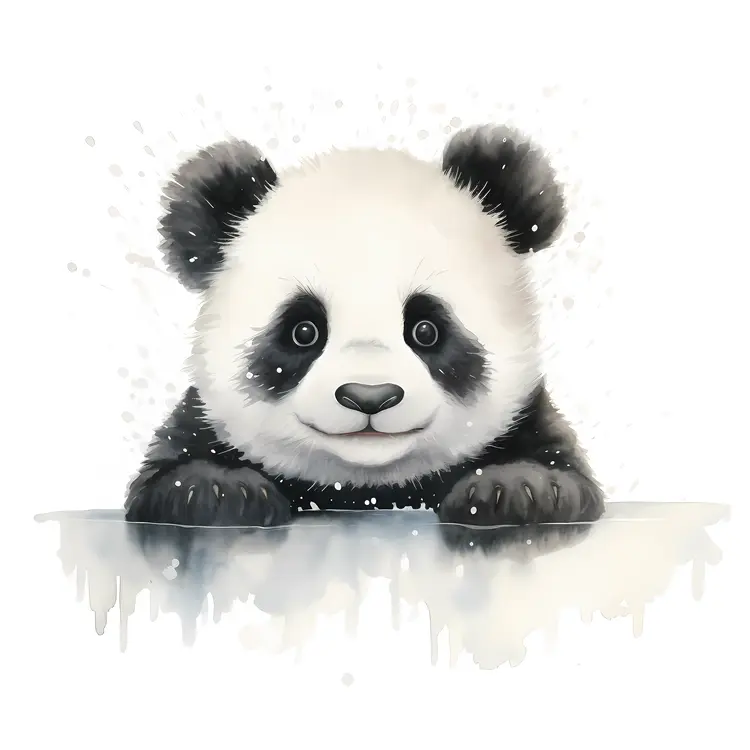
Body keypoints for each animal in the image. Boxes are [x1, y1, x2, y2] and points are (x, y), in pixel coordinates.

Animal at [124, 124, 605, 529]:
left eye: (426, 329)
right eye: (303, 331)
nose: (369, 396)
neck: (367, 490)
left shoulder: (526, 417)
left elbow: (563, 479)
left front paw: (517, 489)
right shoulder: (205, 422)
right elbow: (166, 480)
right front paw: (218, 490)